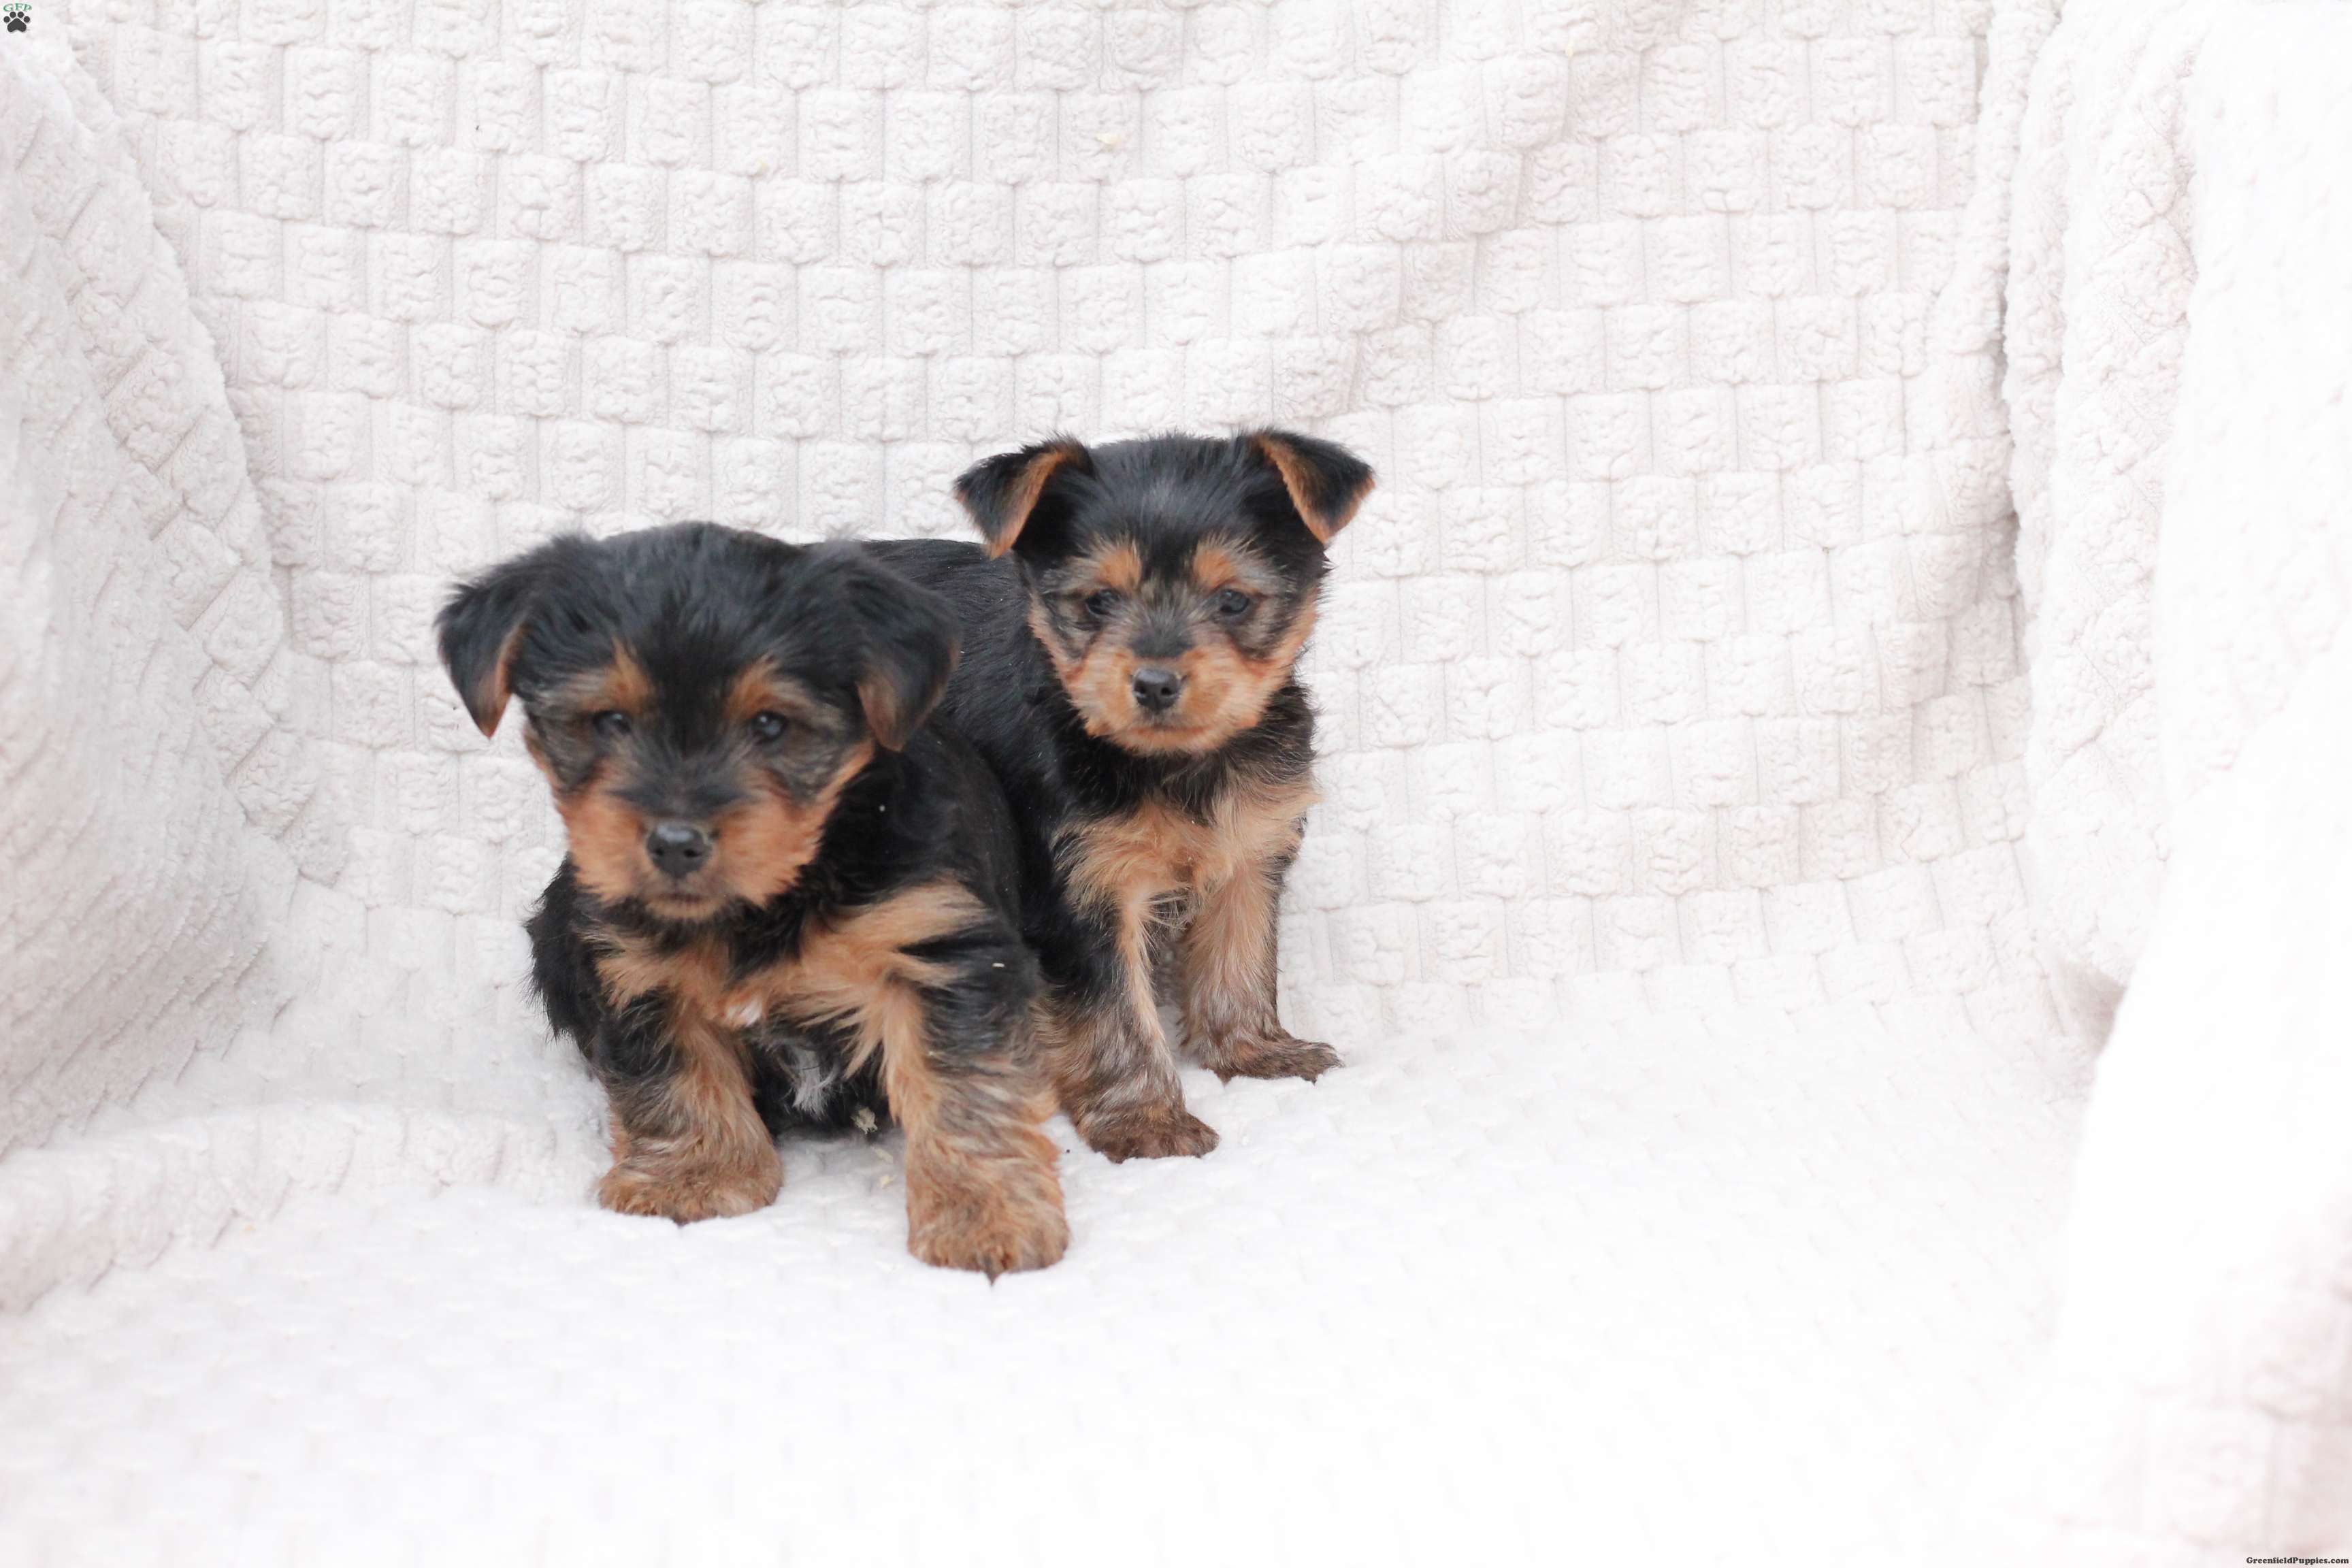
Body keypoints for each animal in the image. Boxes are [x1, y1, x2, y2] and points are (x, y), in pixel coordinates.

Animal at [436, 524, 1068, 1276]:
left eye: (770, 725)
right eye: (609, 721)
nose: (676, 843)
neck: (782, 889)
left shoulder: (942, 946)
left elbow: (967, 1082)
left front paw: (985, 1213)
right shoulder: (635, 965)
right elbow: (671, 1068)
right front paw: (695, 1175)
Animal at [870, 429, 1373, 1161]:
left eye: (1233, 601)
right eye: (1098, 603)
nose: (1156, 682)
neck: (1172, 762)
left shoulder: (1250, 847)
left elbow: (1240, 954)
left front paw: (1253, 1050)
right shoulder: (1081, 892)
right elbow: (1115, 1012)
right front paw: (1147, 1118)